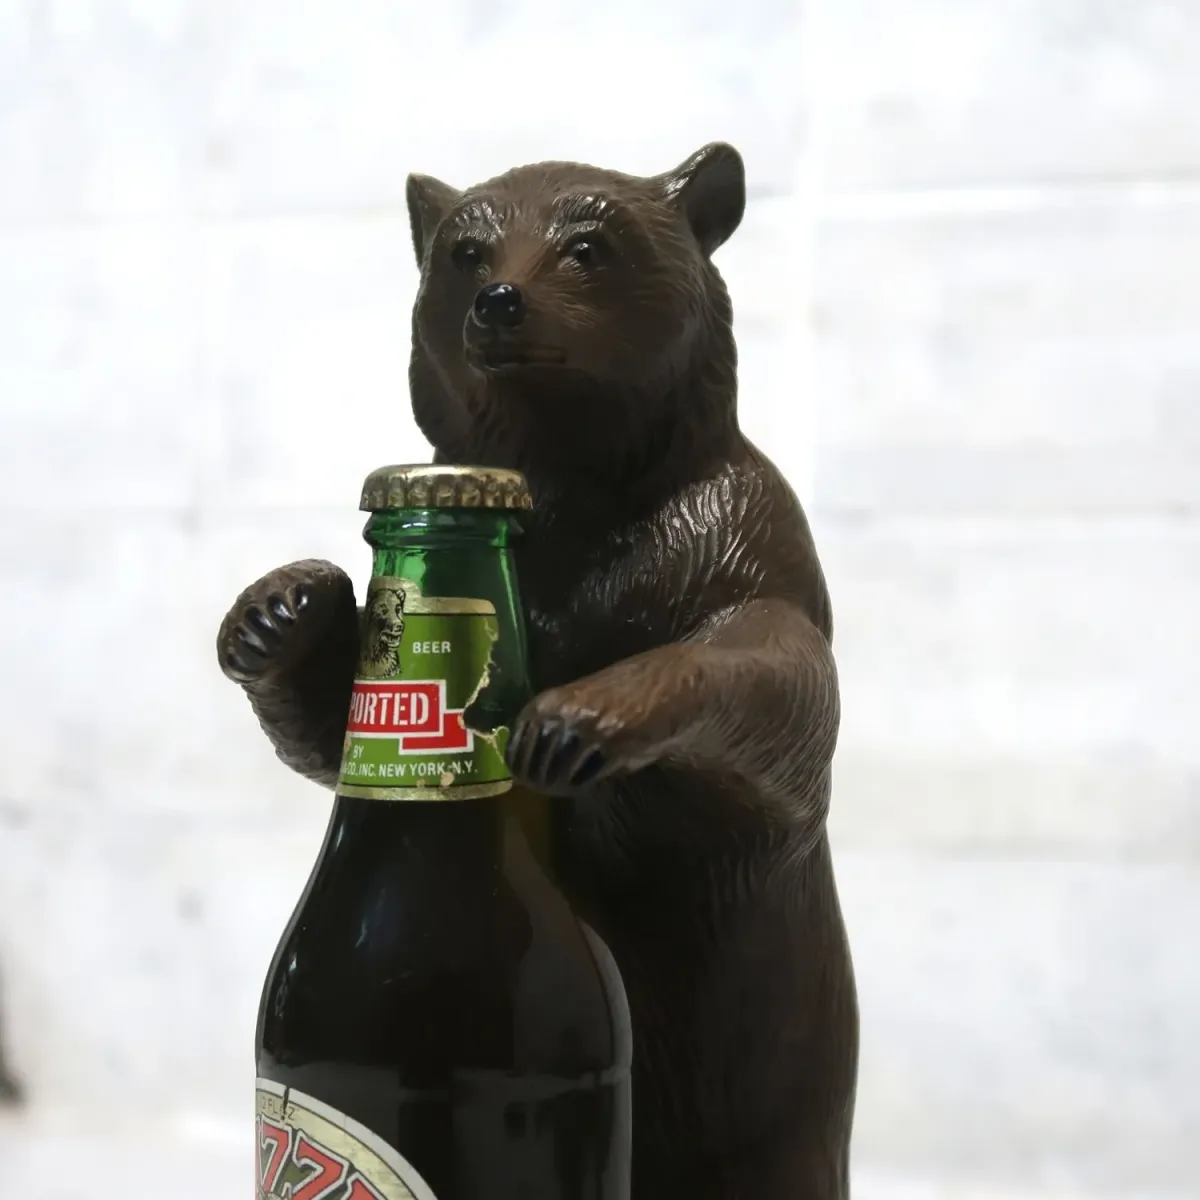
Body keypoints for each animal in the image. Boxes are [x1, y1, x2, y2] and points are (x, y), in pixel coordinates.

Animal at [217, 141, 858, 1199]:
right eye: (465, 252)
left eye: (590, 246)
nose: (501, 299)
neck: (573, 495)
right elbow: (322, 728)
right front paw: (280, 607)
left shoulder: (740, 541)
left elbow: (774, 685)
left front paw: (587, 713)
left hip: (777, 1082)